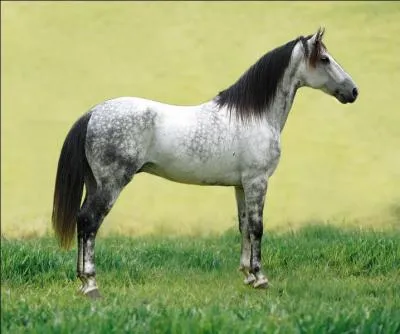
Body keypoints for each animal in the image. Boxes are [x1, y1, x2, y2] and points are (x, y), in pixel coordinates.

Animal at [51, 26, 358, 298]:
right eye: (324, 59)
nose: (354, 91)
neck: (255, 115)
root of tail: (93, 113)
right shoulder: (257, 181)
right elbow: (257, 228)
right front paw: (260, 278)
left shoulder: (241, 185)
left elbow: (244, 227)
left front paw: (247, 275)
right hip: (111, 185)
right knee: (89, 222)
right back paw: (91, 284)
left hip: (95, 183)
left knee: (82, 221)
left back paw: (82, 282)